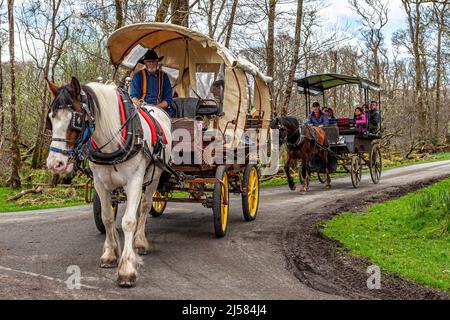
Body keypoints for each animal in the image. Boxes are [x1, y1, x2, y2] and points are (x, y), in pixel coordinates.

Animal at [45, 78, 172, 288]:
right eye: (50, 119)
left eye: (76, 120)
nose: (55, 164)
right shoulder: (101, 183)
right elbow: (107, 218)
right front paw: (110, 253)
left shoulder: (134, 181)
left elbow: (129, 221)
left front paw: (127, 269)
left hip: (154, 175)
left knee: (145, 207)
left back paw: (140, 241)